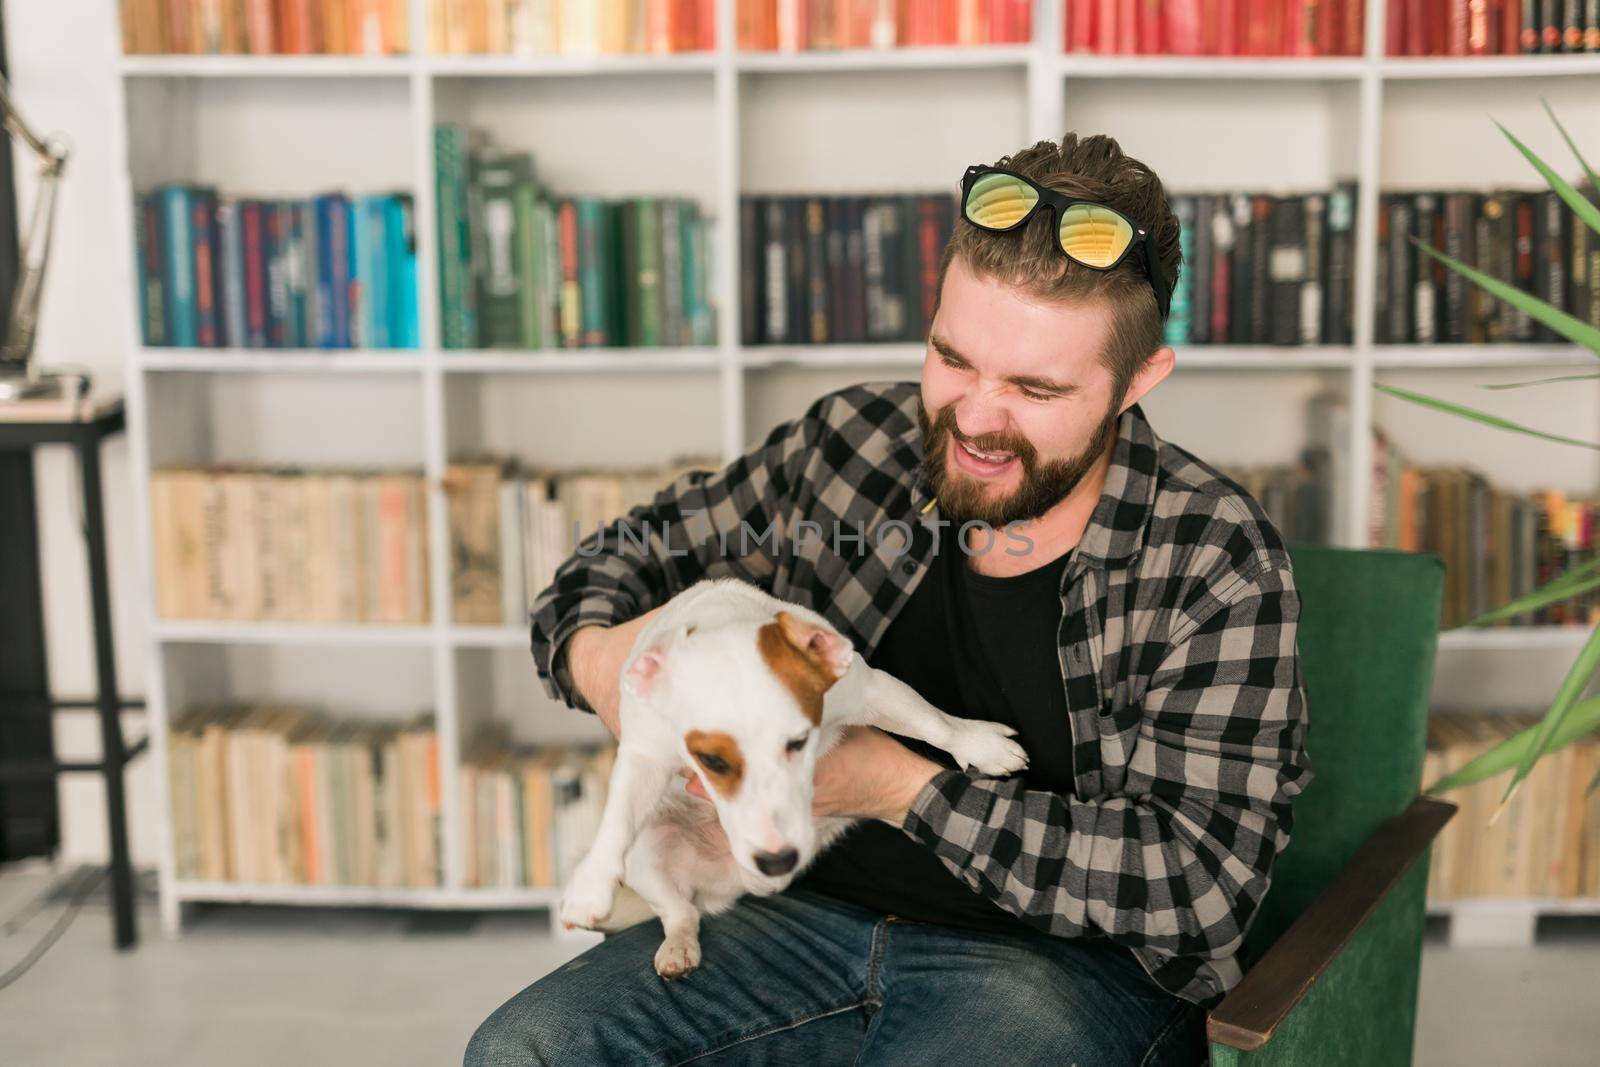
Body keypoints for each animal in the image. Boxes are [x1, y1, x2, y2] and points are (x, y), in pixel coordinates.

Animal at [556, 579, 1030, 979]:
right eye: (711, 760)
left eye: (800, 741)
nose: (776, 859)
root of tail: (731, 887)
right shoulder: (646, 751)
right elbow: (619, 816)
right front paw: (591, 883)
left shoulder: (868, 688)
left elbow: (933, 723)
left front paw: (978, 744)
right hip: (649, 854)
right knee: (680, 913)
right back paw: (678, 946)